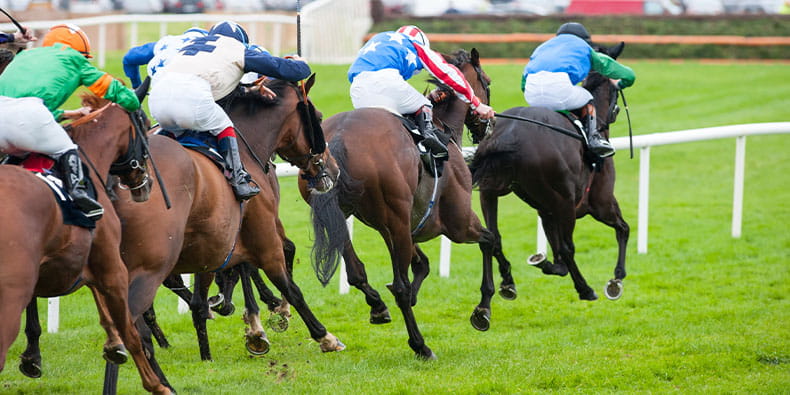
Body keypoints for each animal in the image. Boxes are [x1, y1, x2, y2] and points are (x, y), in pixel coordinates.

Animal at [0, 93, 171, 392]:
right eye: (144, 122)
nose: (147, 183)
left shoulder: (79, 261)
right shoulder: (112, 265)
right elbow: (130, 330)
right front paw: (156, 385)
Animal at [100, 76, 342, 390]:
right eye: (320, 117)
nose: (334, 169)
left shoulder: (214, 245)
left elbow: (210, 294)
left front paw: (231, 333)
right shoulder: (263, 236)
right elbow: (289, 283)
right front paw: (316, 332)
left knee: (131, 327)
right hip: (150, 263)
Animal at [300, 48, 504, 358]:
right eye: (488, 82)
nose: (488, 126)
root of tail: (339, 136)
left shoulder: (395, 228)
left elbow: (423, 264)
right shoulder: (457, 223)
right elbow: (489, 240)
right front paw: (484, 308)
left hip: (341, 215)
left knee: (357, 272)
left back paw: (378, 306)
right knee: (399, 287)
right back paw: (421, 345)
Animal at [470, 64, 632, 300]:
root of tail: (510, 134)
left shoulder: (547, 210)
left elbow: (557, 258)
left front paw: (544, 262)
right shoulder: (601, 202)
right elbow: (623, 229)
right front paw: (616, 280)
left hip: (491, 190)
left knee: (493, 238)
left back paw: (505, 285)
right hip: (566, 202)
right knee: (568, 247)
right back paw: (585, 289)